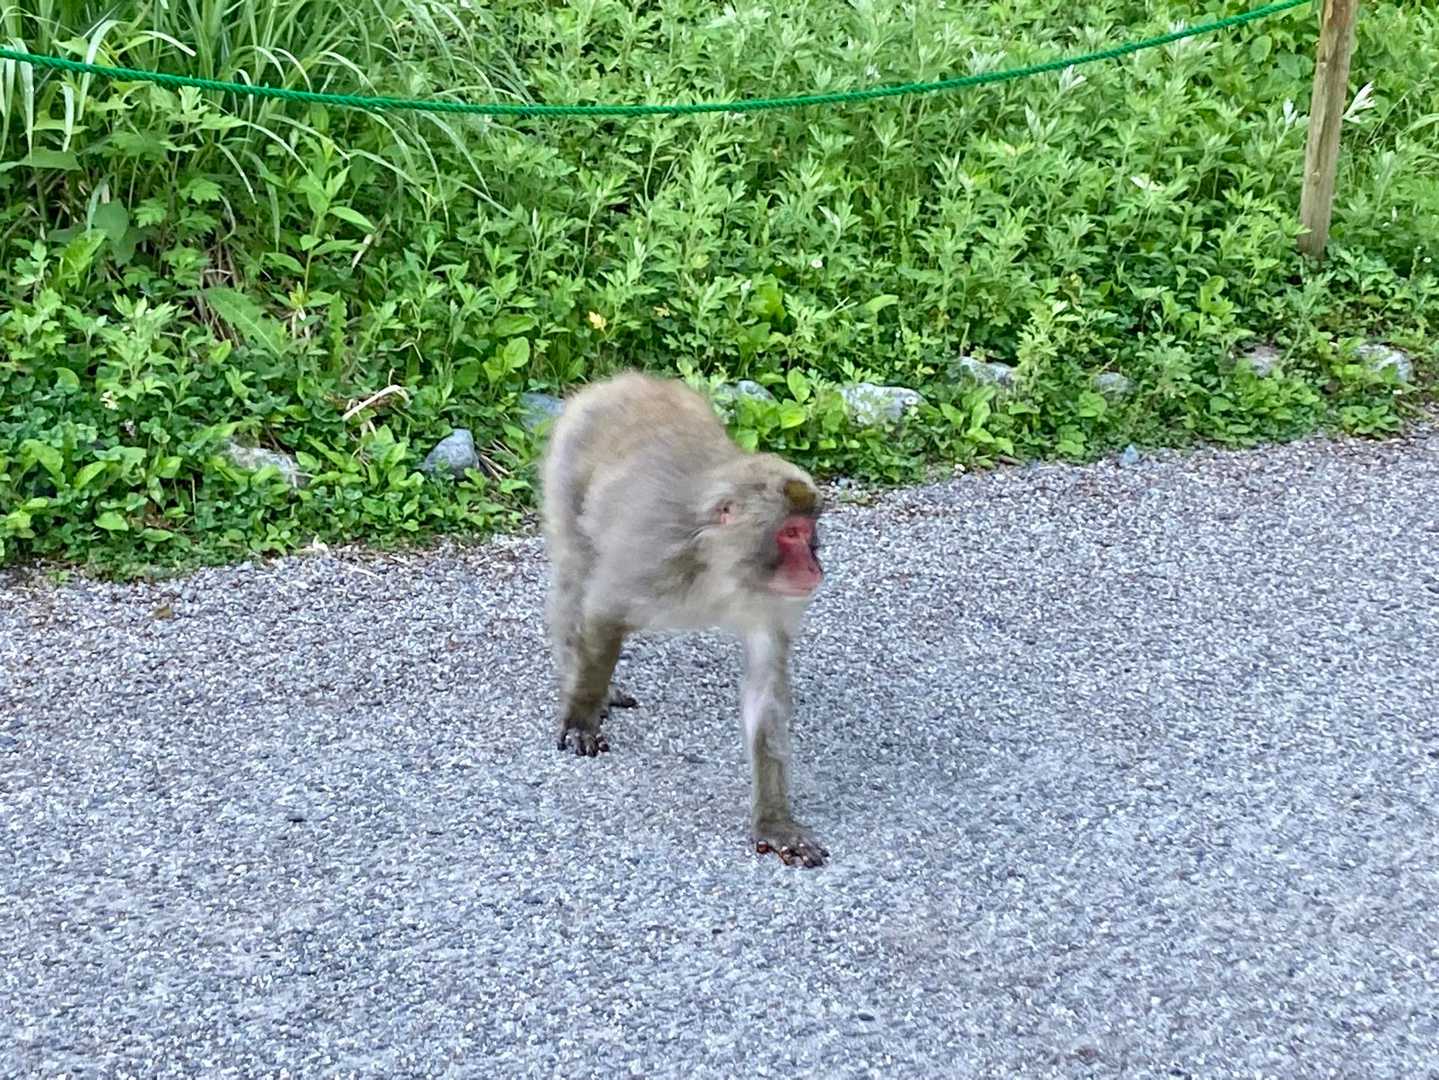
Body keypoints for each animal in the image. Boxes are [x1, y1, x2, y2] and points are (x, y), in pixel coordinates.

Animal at [540, 371, 830, 868]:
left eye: (809, 533)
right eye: (790, 533)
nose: (814, 568)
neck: (720, 568)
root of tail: (620, 381)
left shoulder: (769, 601)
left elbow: (766, 691)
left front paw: (775, 823)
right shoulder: (652, 557)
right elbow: (602, 609)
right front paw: (581, 713)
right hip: (569, 463)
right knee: (575, 572)